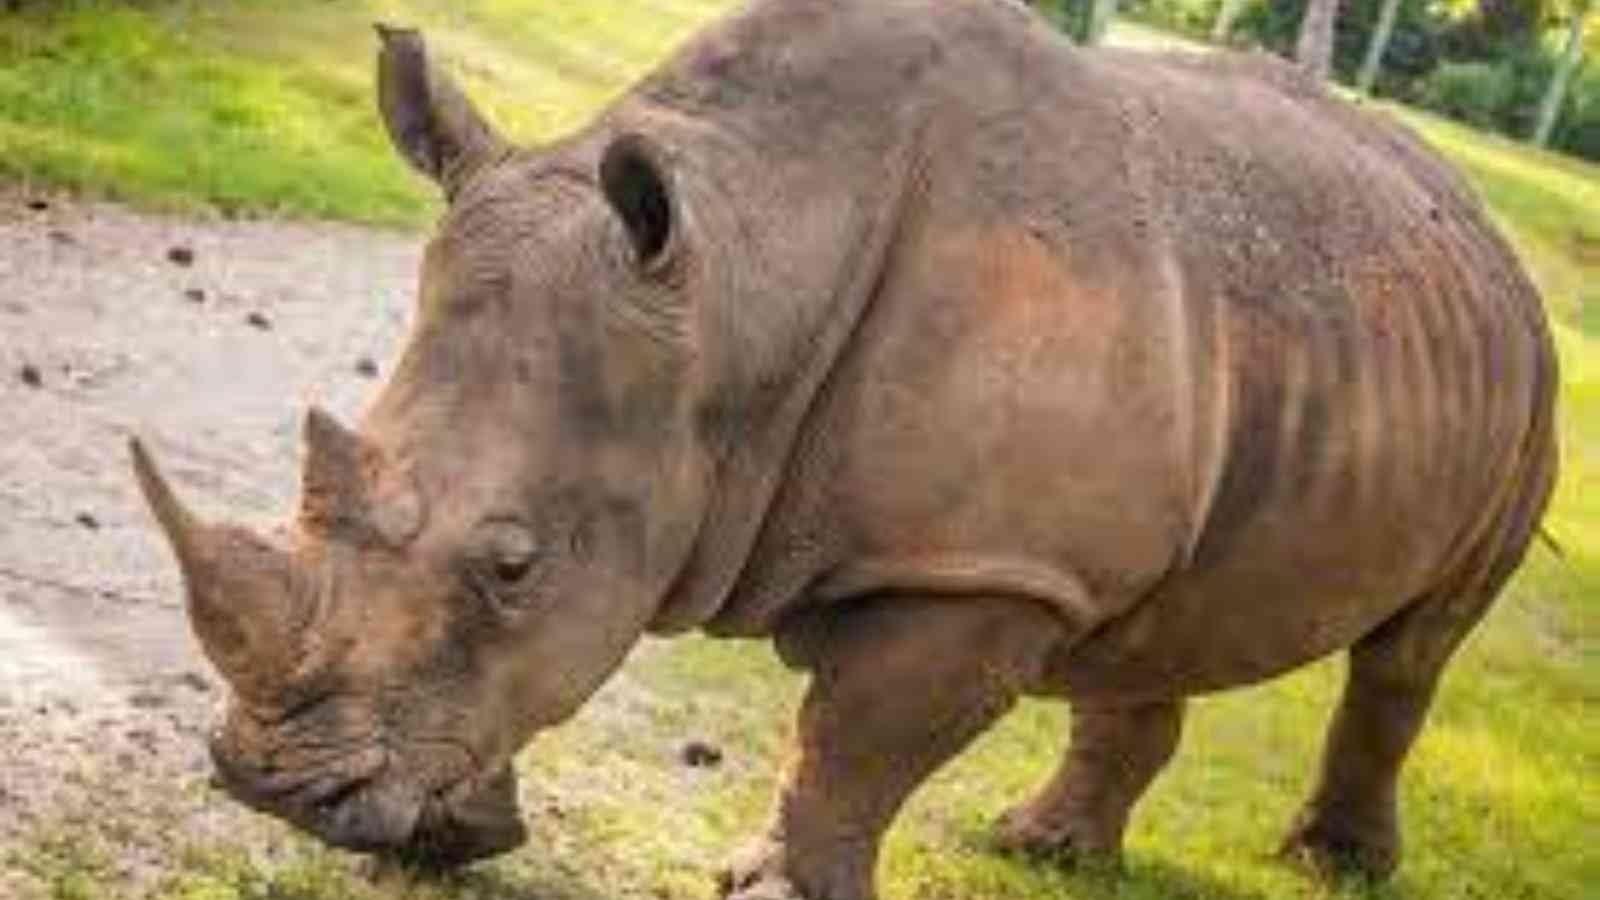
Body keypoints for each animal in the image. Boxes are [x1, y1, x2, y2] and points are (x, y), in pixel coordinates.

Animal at [130, 0, 1559, 897]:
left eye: (513, 564)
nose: (265, 784)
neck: (748, 280)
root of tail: (1478, 222)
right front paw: (445, 844)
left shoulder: (977, 564)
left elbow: (852, 741)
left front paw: (770, 891)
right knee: (1153, 616)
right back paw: (1041, 851)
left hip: (1531, 380)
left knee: (1412, 651)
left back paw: (1332, 866)